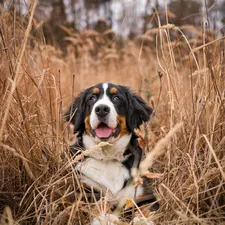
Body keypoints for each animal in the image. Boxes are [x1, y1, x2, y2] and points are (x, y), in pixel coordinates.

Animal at [64, 82, 159, 221]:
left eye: (116, 98)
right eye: (92, 98)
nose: (101, 109)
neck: (107, 157)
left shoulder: (145, 195)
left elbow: (145, 212)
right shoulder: (85, 192)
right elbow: (98, 208)